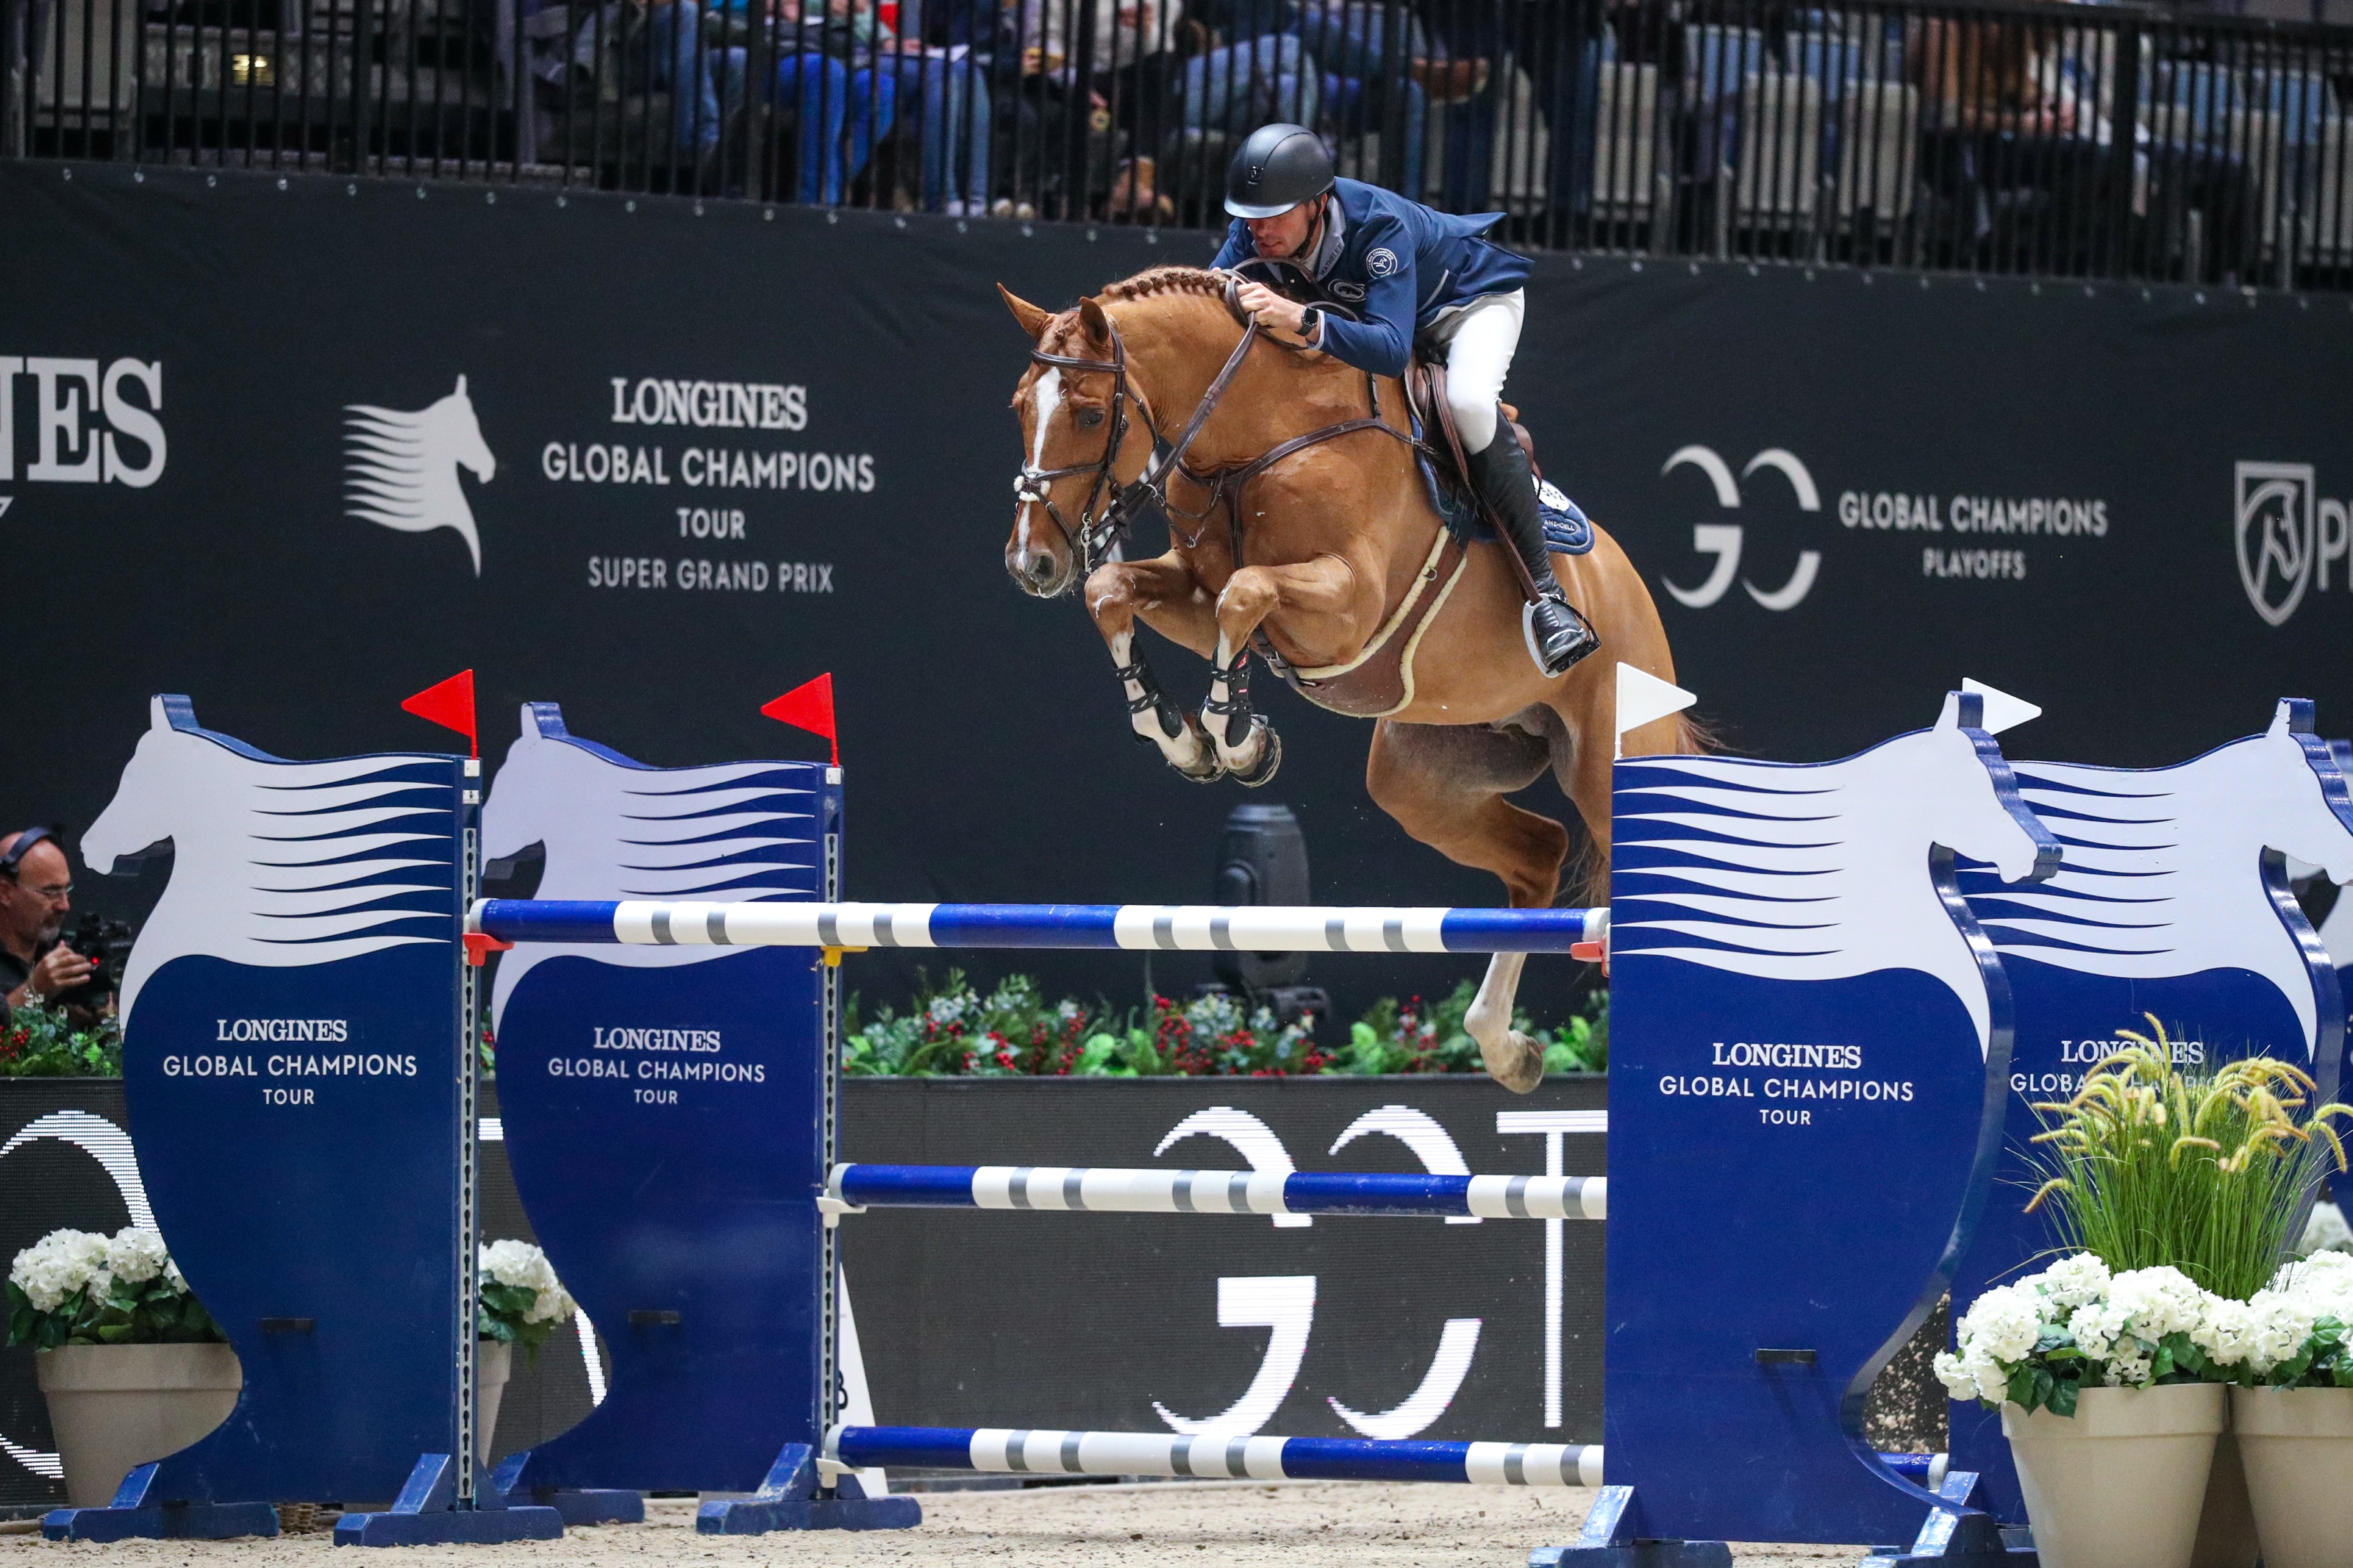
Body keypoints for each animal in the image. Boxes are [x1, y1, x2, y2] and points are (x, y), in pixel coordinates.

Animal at [996, 265, 1691, 1092]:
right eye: (1018, 407)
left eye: (1090, 413)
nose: (1031, 564)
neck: (1259, 436)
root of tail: (1627, 588)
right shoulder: (1193, 593)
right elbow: (1117, 593)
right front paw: (1182, 736)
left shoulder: (1345, 606)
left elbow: (1245, 594)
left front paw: (1237, 739)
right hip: (1425, 775)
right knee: (1539, 853)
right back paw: (1506, 1049)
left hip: (1607, 757)